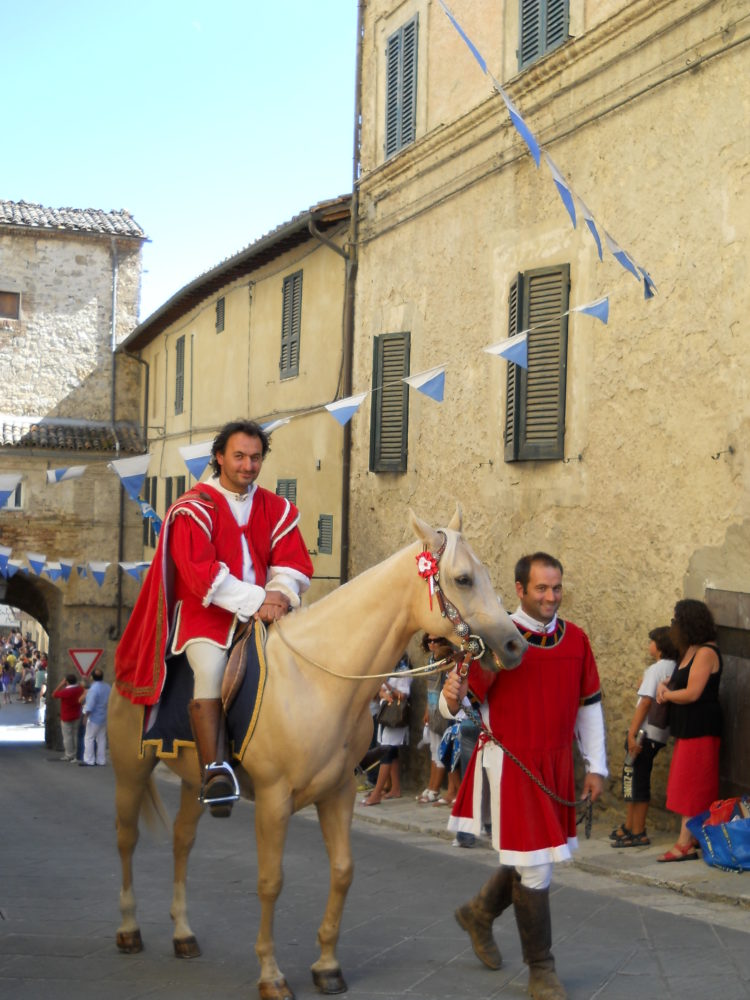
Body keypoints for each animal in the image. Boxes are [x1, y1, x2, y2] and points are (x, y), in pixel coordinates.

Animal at [107, 512, 528, 996]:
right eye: (462, 578)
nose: (516, 645)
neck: (317, 678)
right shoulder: (273, 801)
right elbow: (271, 881)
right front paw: (271, 974)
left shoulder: (338, 793)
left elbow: (342, 871)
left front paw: (327, 966)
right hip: (131, 771)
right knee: (126, 839)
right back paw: (129, 929)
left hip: (197, 778)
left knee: (182, 841)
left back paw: (183, 935)